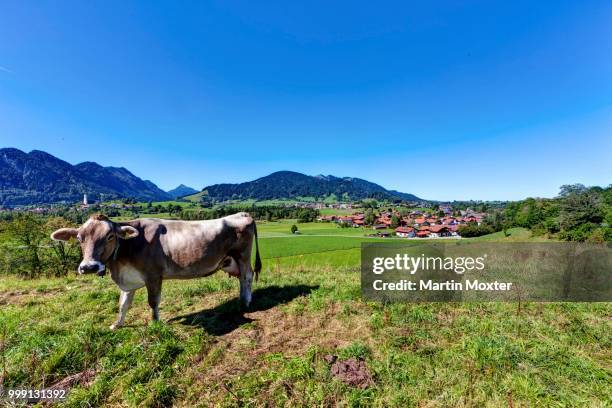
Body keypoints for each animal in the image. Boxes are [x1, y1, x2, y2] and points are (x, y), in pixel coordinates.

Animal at [51, 212, 262, 330]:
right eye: (80, 238)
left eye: (110, 236)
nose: (89, 267)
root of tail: (241, 214)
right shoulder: (128, 281)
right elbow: (123, 304)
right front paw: (117, 324)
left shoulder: (153, 275)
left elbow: (152, 302)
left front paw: (155, 323)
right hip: (232, 259)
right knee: (242, 279)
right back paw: (241, 299)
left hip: (243, 256)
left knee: (247, 276)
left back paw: (245, 302)